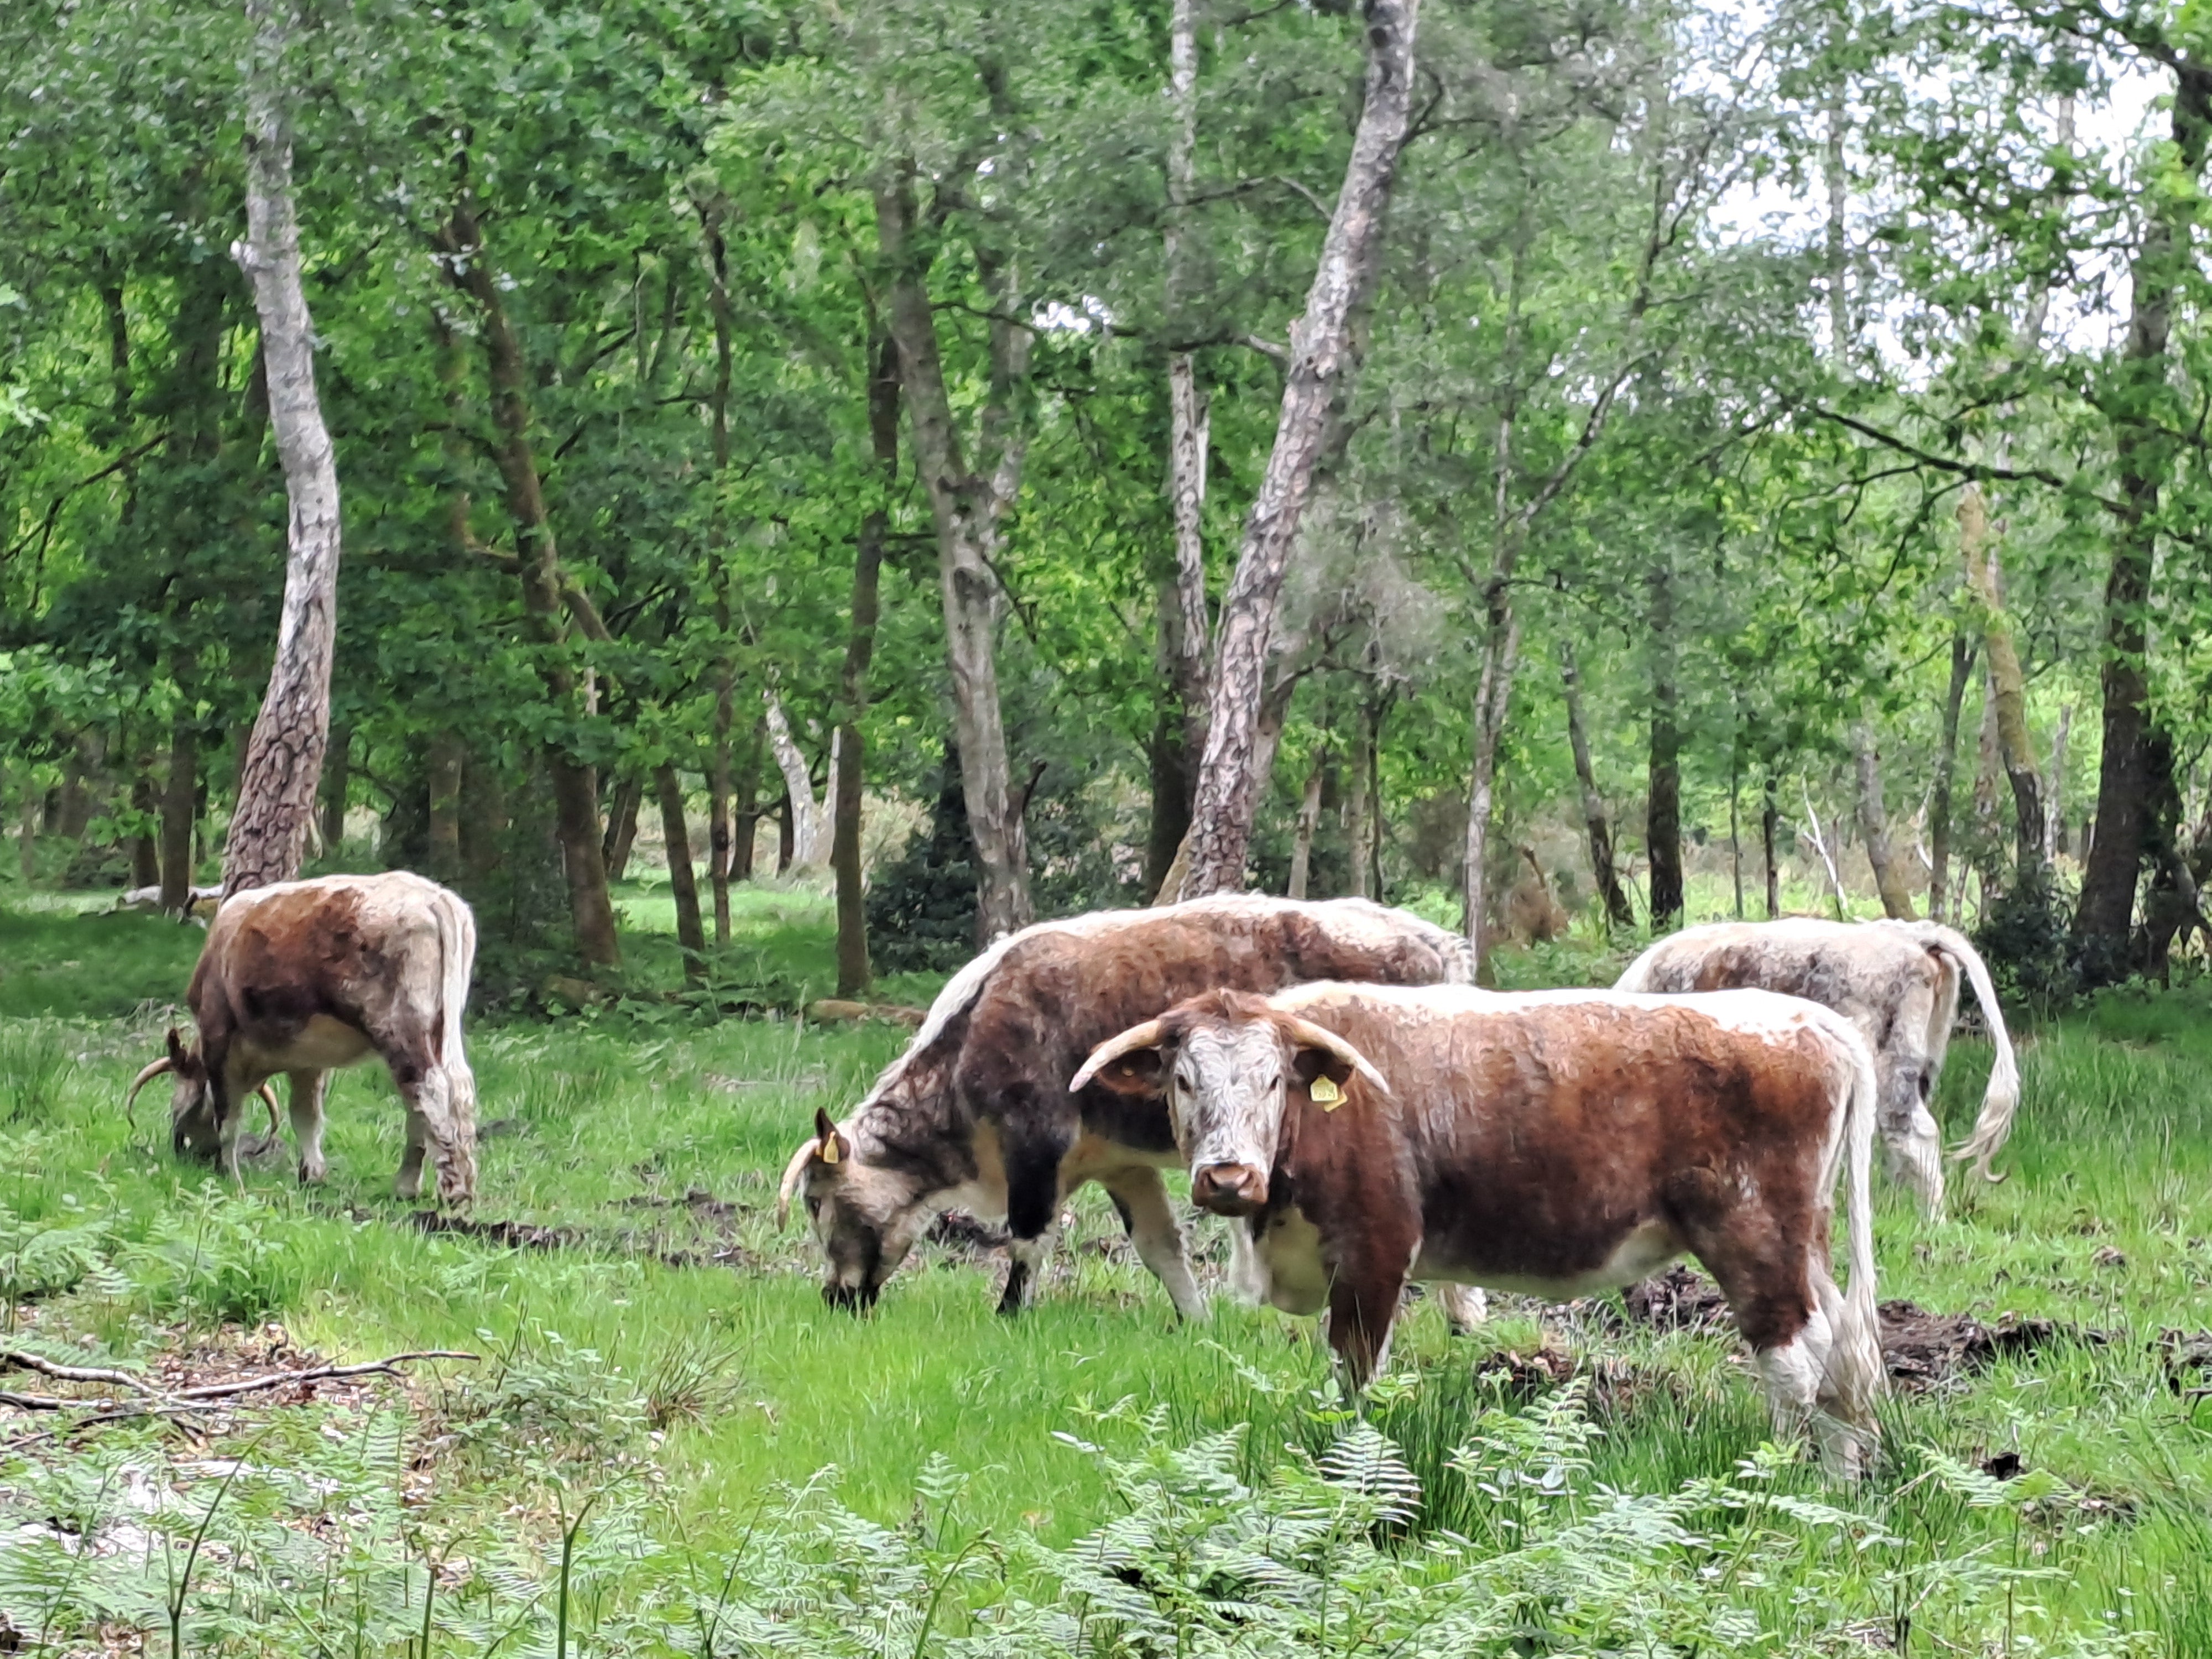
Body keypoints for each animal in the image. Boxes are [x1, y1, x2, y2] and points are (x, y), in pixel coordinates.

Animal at [125, 872, 479, 1205]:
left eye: (176, 1097)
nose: (183, 1150)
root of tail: (433, 896)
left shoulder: (218, 1040)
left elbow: (228, 1116)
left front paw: (231, 1177)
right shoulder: (308, 1062)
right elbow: (306, 1115)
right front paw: (312, 1176)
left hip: (401, 1027)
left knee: (429, 1091)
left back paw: (447, 1189)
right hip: (440, 1028)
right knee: (446, 1091)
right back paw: (418, 1186)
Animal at [777, 894, 1475, 1319]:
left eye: (815, 1202)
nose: (833, 1297)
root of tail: (1428, 938)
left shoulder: (1035, 1141)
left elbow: (1027, 1239)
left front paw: (1008, 1315)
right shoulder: (1120, 1162)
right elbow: (1160, 1246)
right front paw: (1197, 1324)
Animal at [1073, 982, 1885, 1476]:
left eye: (1273, 1080)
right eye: (1184, 1080)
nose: (1228, 1177)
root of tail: (1809, 1018)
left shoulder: (1374, 1256)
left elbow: (1354, 1384)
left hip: (1755, 1238)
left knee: (1797, 1364)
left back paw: (1787, 1484)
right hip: (1803, 1244)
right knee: (1844, 1360)